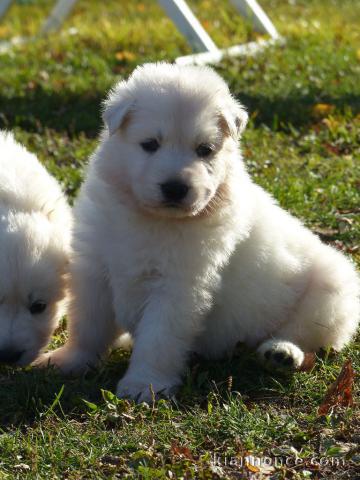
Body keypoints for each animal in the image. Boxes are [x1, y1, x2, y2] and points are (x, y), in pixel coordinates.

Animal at [38, 63, 358, 402]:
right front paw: (70, 361)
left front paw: (144, 384)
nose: (175, 188)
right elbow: (88, 325)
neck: (152, 219)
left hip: (330, 292)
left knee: (304, 334)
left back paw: (282, 352)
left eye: (205, 150)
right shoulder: (96, 270)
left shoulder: (180, 286)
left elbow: (158, 339)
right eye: (150, 144)